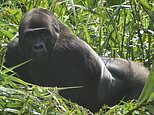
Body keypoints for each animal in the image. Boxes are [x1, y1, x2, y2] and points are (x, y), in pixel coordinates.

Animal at [4, 8, 149, 112]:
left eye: (43, 34)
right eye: (31, 36)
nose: (38, 46)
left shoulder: (69, 50)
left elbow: (67, 100)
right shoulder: (12, 51)